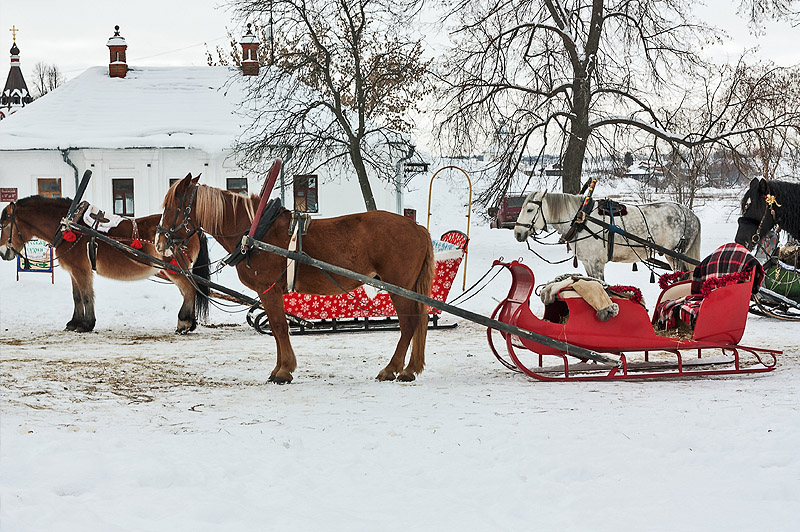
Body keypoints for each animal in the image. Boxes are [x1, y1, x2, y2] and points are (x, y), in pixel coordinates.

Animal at [0, 196, 209, 332]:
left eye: (4, 225)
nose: (3, 253)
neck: (69, 226)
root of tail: (192, 229)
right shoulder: (74, 271)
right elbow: (76, 297)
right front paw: (74, 322)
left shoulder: (81, 270)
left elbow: (86, 296)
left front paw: (86, 324)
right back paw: (190, 323)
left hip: (176, 270)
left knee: (189, 290)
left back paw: (184, 322)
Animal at [154, 175, 434, 382]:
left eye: (170, 207)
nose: (158, 241)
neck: (255, 233)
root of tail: (417, 227)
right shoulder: (271, 292)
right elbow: (278, 328)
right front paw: (281, 367)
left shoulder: (268, 289)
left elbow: (279, 326)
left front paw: (284, 370)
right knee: (420, 321)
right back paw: (410, 368)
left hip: (398, 286)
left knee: (409, 324)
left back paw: (393, 368)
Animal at [516, 191, 696, 282]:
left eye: (530, 210)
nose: (517, 232)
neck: (581, 220)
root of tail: (689, 213)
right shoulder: (588, 263)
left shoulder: (596, 263)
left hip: (675, 255)